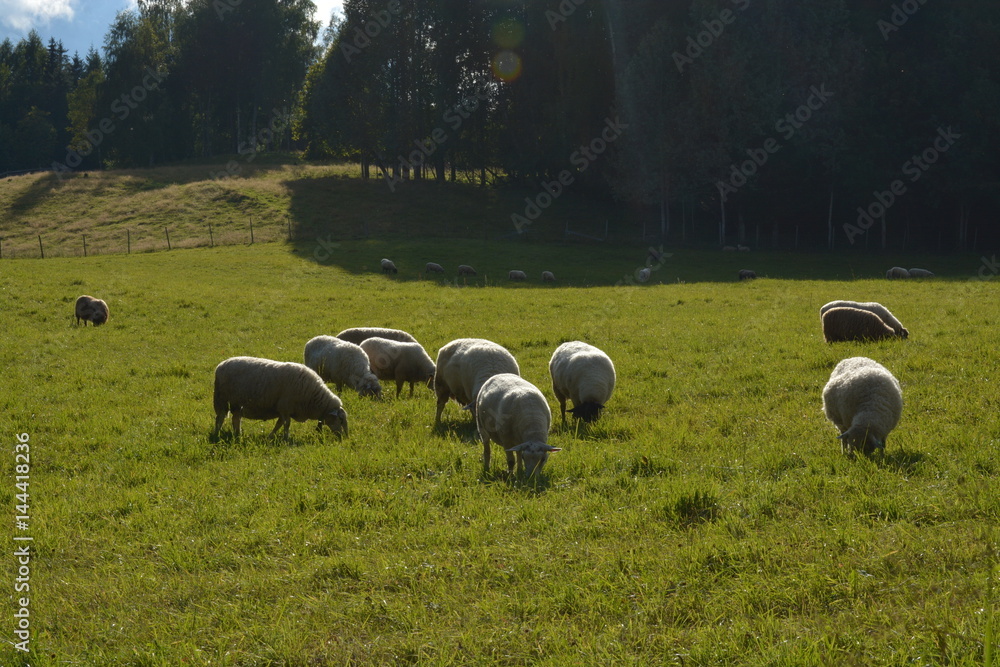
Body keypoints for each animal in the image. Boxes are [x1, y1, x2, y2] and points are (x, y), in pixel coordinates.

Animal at [212, 356, 349, 439]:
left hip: (236, 404)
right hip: (221, 399)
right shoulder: (285, 407)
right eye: (341, 420)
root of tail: (220, 365)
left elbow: (279, 424)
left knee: (236, 419)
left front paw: (271, 436)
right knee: (220, 418)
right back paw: (217, 434)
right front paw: (286, 438)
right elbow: (286, 424)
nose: (344, 438)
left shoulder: (282, 409)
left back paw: (238, 434)